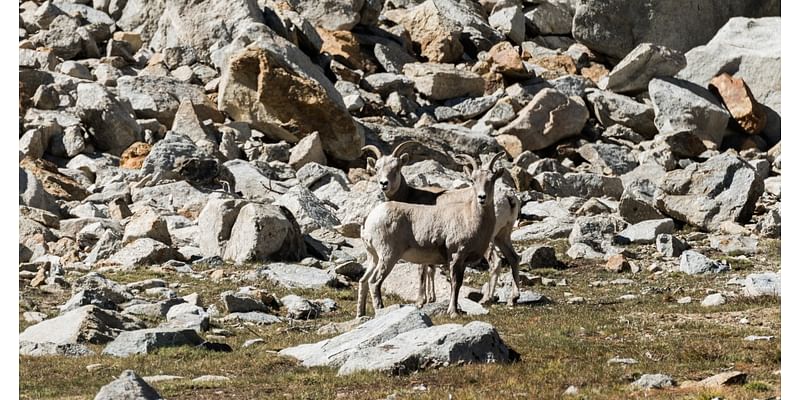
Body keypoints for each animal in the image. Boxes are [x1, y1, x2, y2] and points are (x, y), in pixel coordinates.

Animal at [360, 142, 520, 308]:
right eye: (377, 168)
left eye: (396, 167)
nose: (384, 184)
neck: (410, 195)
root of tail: (509, 198)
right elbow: (431, 269)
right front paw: (431, 298)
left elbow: (423, 270)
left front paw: (421, 300)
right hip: (502, 236)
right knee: (514, 258)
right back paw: (512, 299)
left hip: (491, 241)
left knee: (496, 262)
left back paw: (487, 298)